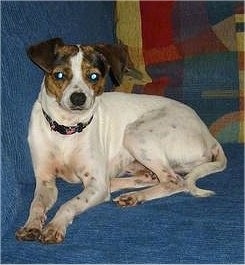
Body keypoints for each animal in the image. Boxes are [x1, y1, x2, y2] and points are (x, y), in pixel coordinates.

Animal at [14, 37, 226, 243]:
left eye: (93, 77)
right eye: (59, 75)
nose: (78, 98)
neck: (67, 130)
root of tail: (208, 135)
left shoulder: (96, 185)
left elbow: (69, 204)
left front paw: (55, 226)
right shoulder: (45, 180)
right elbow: (36, 204)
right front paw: (31, 225)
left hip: (135, 133)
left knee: (175, 181)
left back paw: (134, 196)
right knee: (150, 177)